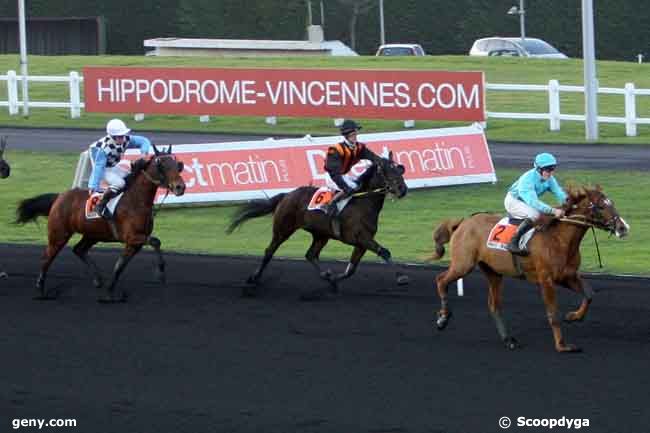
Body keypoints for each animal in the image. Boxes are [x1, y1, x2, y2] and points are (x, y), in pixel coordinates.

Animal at [13, 144, 185, 300]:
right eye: (162, 164)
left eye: (177, 164)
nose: (180, 187)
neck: (136, 201)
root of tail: (59, 197)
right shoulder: (132, 237)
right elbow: (155, 241)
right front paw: (160, 274)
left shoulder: (134, 243)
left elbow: (120, 266)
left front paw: (109, 291)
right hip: (59, 234)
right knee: (47, 257)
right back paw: (40, 289)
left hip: (92, 235)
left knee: (78, 250)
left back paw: (98, 279)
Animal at [228, 152, 408, 296]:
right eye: (388, 171)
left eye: (400, 170)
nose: (403, 189)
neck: (363, 204)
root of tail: (287, 195)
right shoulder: (360, 237)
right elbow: (384, 252)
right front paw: (401, 277)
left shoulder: (362, 243)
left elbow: (351, 269)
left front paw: (333, 279)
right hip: (283, 228)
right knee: (269, 251)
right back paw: (253, 278)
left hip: (321, 235)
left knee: (311, 254)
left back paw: (326, 277)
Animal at [430, 185, 628, 352]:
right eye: (601, 206)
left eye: (612, 203)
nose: (622, 227)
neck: (559, 238)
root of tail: (463, 222)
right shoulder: (546, 280)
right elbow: (552, 313)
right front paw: (562, 345)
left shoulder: (566, 276)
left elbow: (589, 294)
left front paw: (574, 316)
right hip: (463, 264)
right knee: (441, 280)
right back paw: (443, 318)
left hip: (493, 272)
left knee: (494, 305)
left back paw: (508, 339)